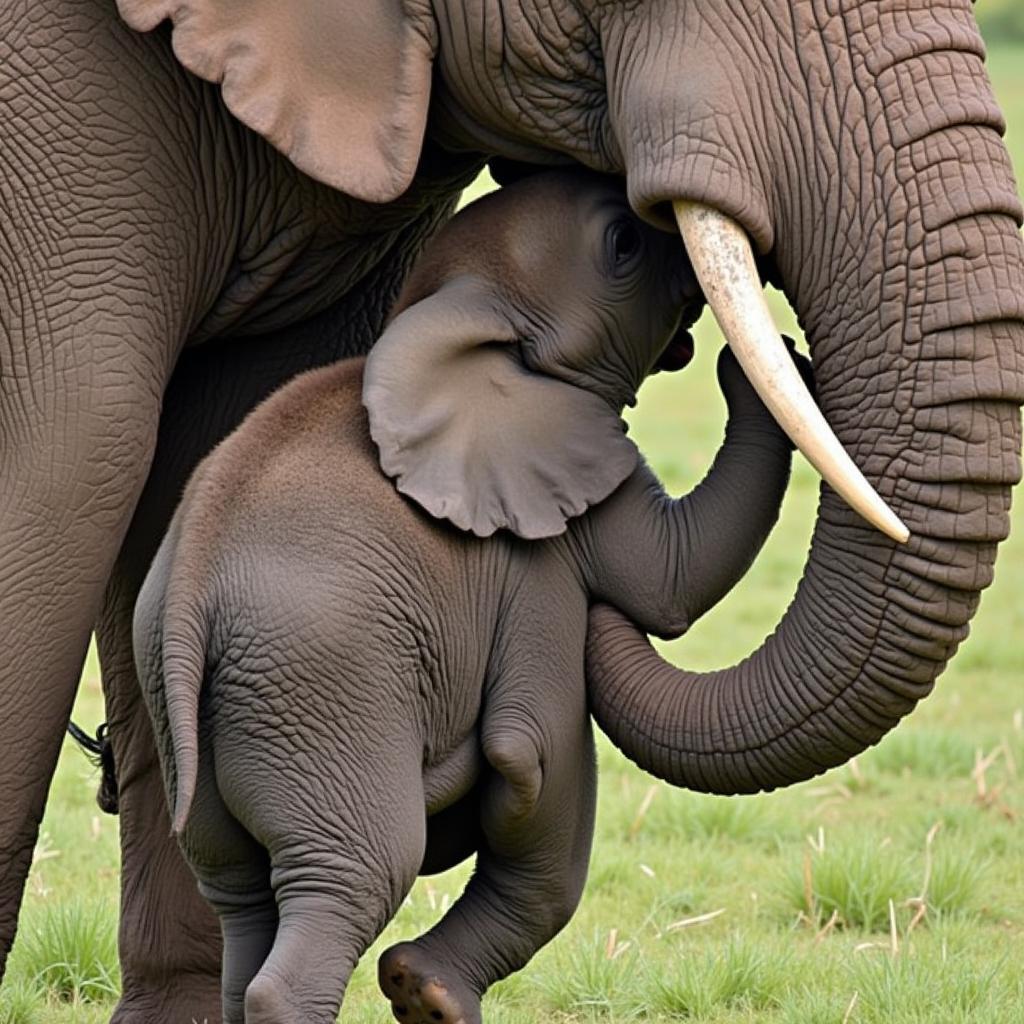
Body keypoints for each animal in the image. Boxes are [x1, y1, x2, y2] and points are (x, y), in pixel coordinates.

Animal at [132, 169, 794, 1024]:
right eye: (622, 243)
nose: (752, 292)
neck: (439, 305)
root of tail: (188, 605)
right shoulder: (541, 548)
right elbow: (643, 618)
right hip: (321, 698)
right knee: (359, 871)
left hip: (197, 723)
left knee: (241, 899)